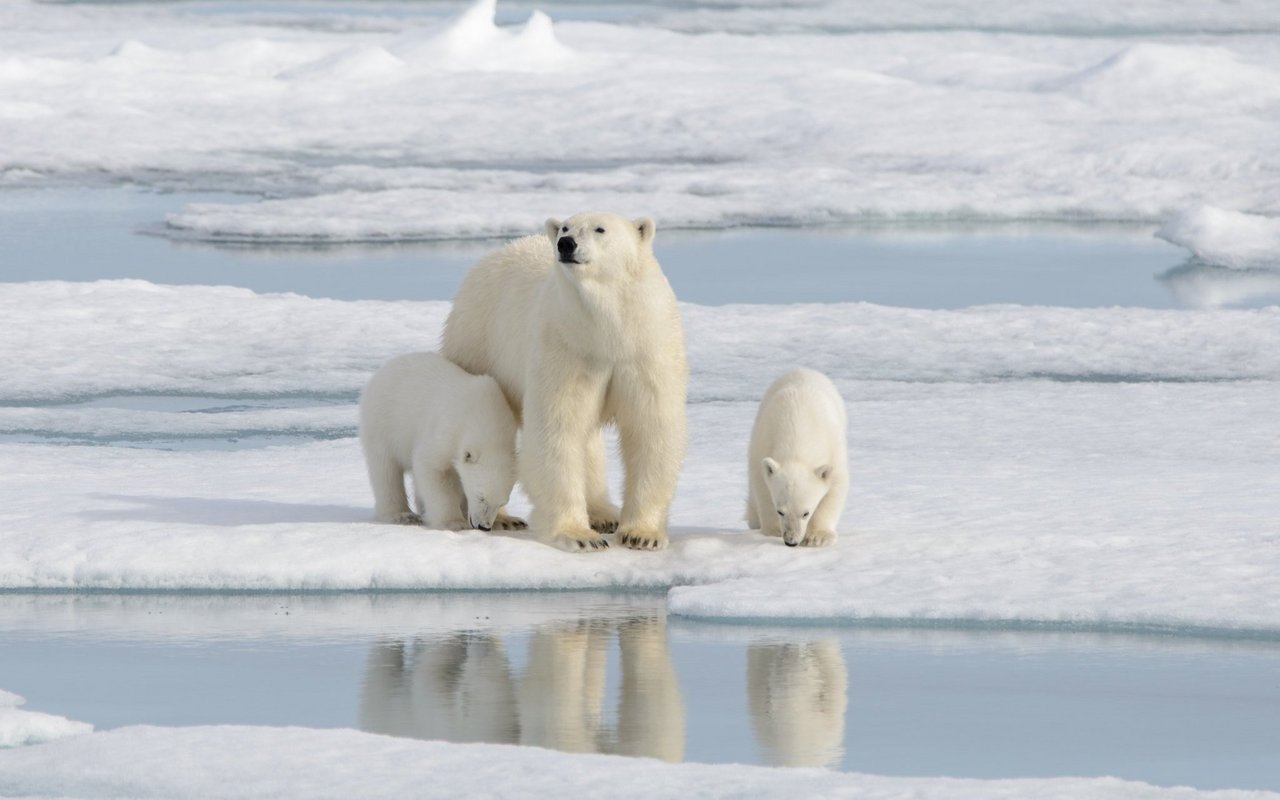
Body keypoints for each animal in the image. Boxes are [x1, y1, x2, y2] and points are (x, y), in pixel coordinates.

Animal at [358, 353, 522, 529]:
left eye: (501, 502)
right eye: (480, 496)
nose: (483, 526)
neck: (485, 415)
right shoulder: (445, 431)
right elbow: (431, 467)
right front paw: (454, 523)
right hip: (383, 422)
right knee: (386, 470)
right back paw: (401, 515)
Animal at [440, 211, 686, 547]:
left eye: (600, 229)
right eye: (566, 227)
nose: (566, 244)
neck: (607, 332)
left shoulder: (645, 349)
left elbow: (650, 427)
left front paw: (641, 534)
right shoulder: (565, 346)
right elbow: (558, 427)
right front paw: (579, 536)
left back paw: (603, 513)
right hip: (478, 342)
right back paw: (503, 517)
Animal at [747, 368, 844, 547]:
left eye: (806, 513)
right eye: (780, 511)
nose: (791, 541)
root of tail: (803, 370)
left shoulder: (834, 451)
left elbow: (835, 489)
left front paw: (817, 537)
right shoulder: (762, 445)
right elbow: (762, 486)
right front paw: (773, 530)